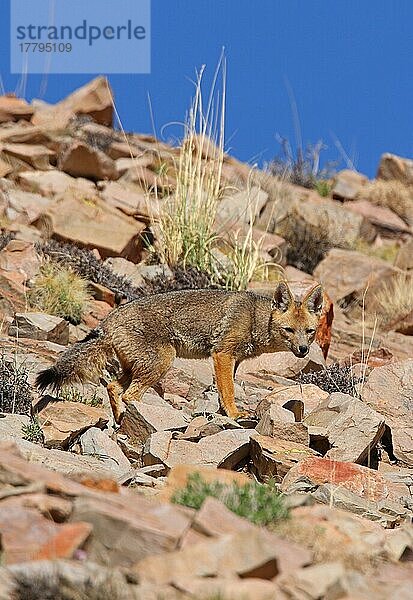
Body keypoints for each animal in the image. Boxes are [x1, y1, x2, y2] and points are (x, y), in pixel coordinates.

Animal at [35, 282, 324, 422]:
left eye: (309, 331)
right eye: (288, 330)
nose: (303, 350)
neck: (255, 318)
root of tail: (108, 320)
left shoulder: (235, 360)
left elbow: (223, 391)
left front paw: (222, 414)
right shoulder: (222, 354)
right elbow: (228, 391)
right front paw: (234, 414)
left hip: (137, 368)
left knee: (113, 388)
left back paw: (119, 422)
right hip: (162, 362)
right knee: (129, 395)